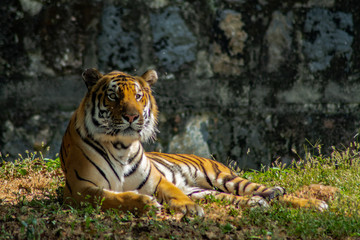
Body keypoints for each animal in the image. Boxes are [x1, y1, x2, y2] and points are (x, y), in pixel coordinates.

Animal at [59, 68, 330, 217]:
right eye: (114, 96)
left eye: (138, 96)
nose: (132, 116)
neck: (121, 147)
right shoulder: (80, 189)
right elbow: (111, 198)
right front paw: (144, 204)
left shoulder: (157, 181)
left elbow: (174, 192)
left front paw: (188, 209)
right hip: (205, 191)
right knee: (247, 198)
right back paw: (256, 204)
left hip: (223, 178)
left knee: (272, 193)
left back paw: (315, 204)